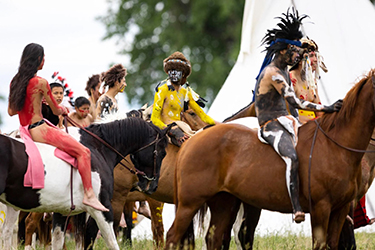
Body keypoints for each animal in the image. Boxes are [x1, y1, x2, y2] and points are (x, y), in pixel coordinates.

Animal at [0, 117, 171, 250]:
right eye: (162, 153)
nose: (153, 186)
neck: (97, 149)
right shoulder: (103, 209)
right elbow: (109, 242)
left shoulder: (61, 212)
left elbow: (59, 241)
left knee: (7, 232)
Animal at [167, 71, 375, 250]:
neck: (335, 144)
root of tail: (193, 138)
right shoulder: (321, 209)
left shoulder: (340, 210)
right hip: (189, 204)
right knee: (172, 237)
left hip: (223, 204)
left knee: (215, 239)